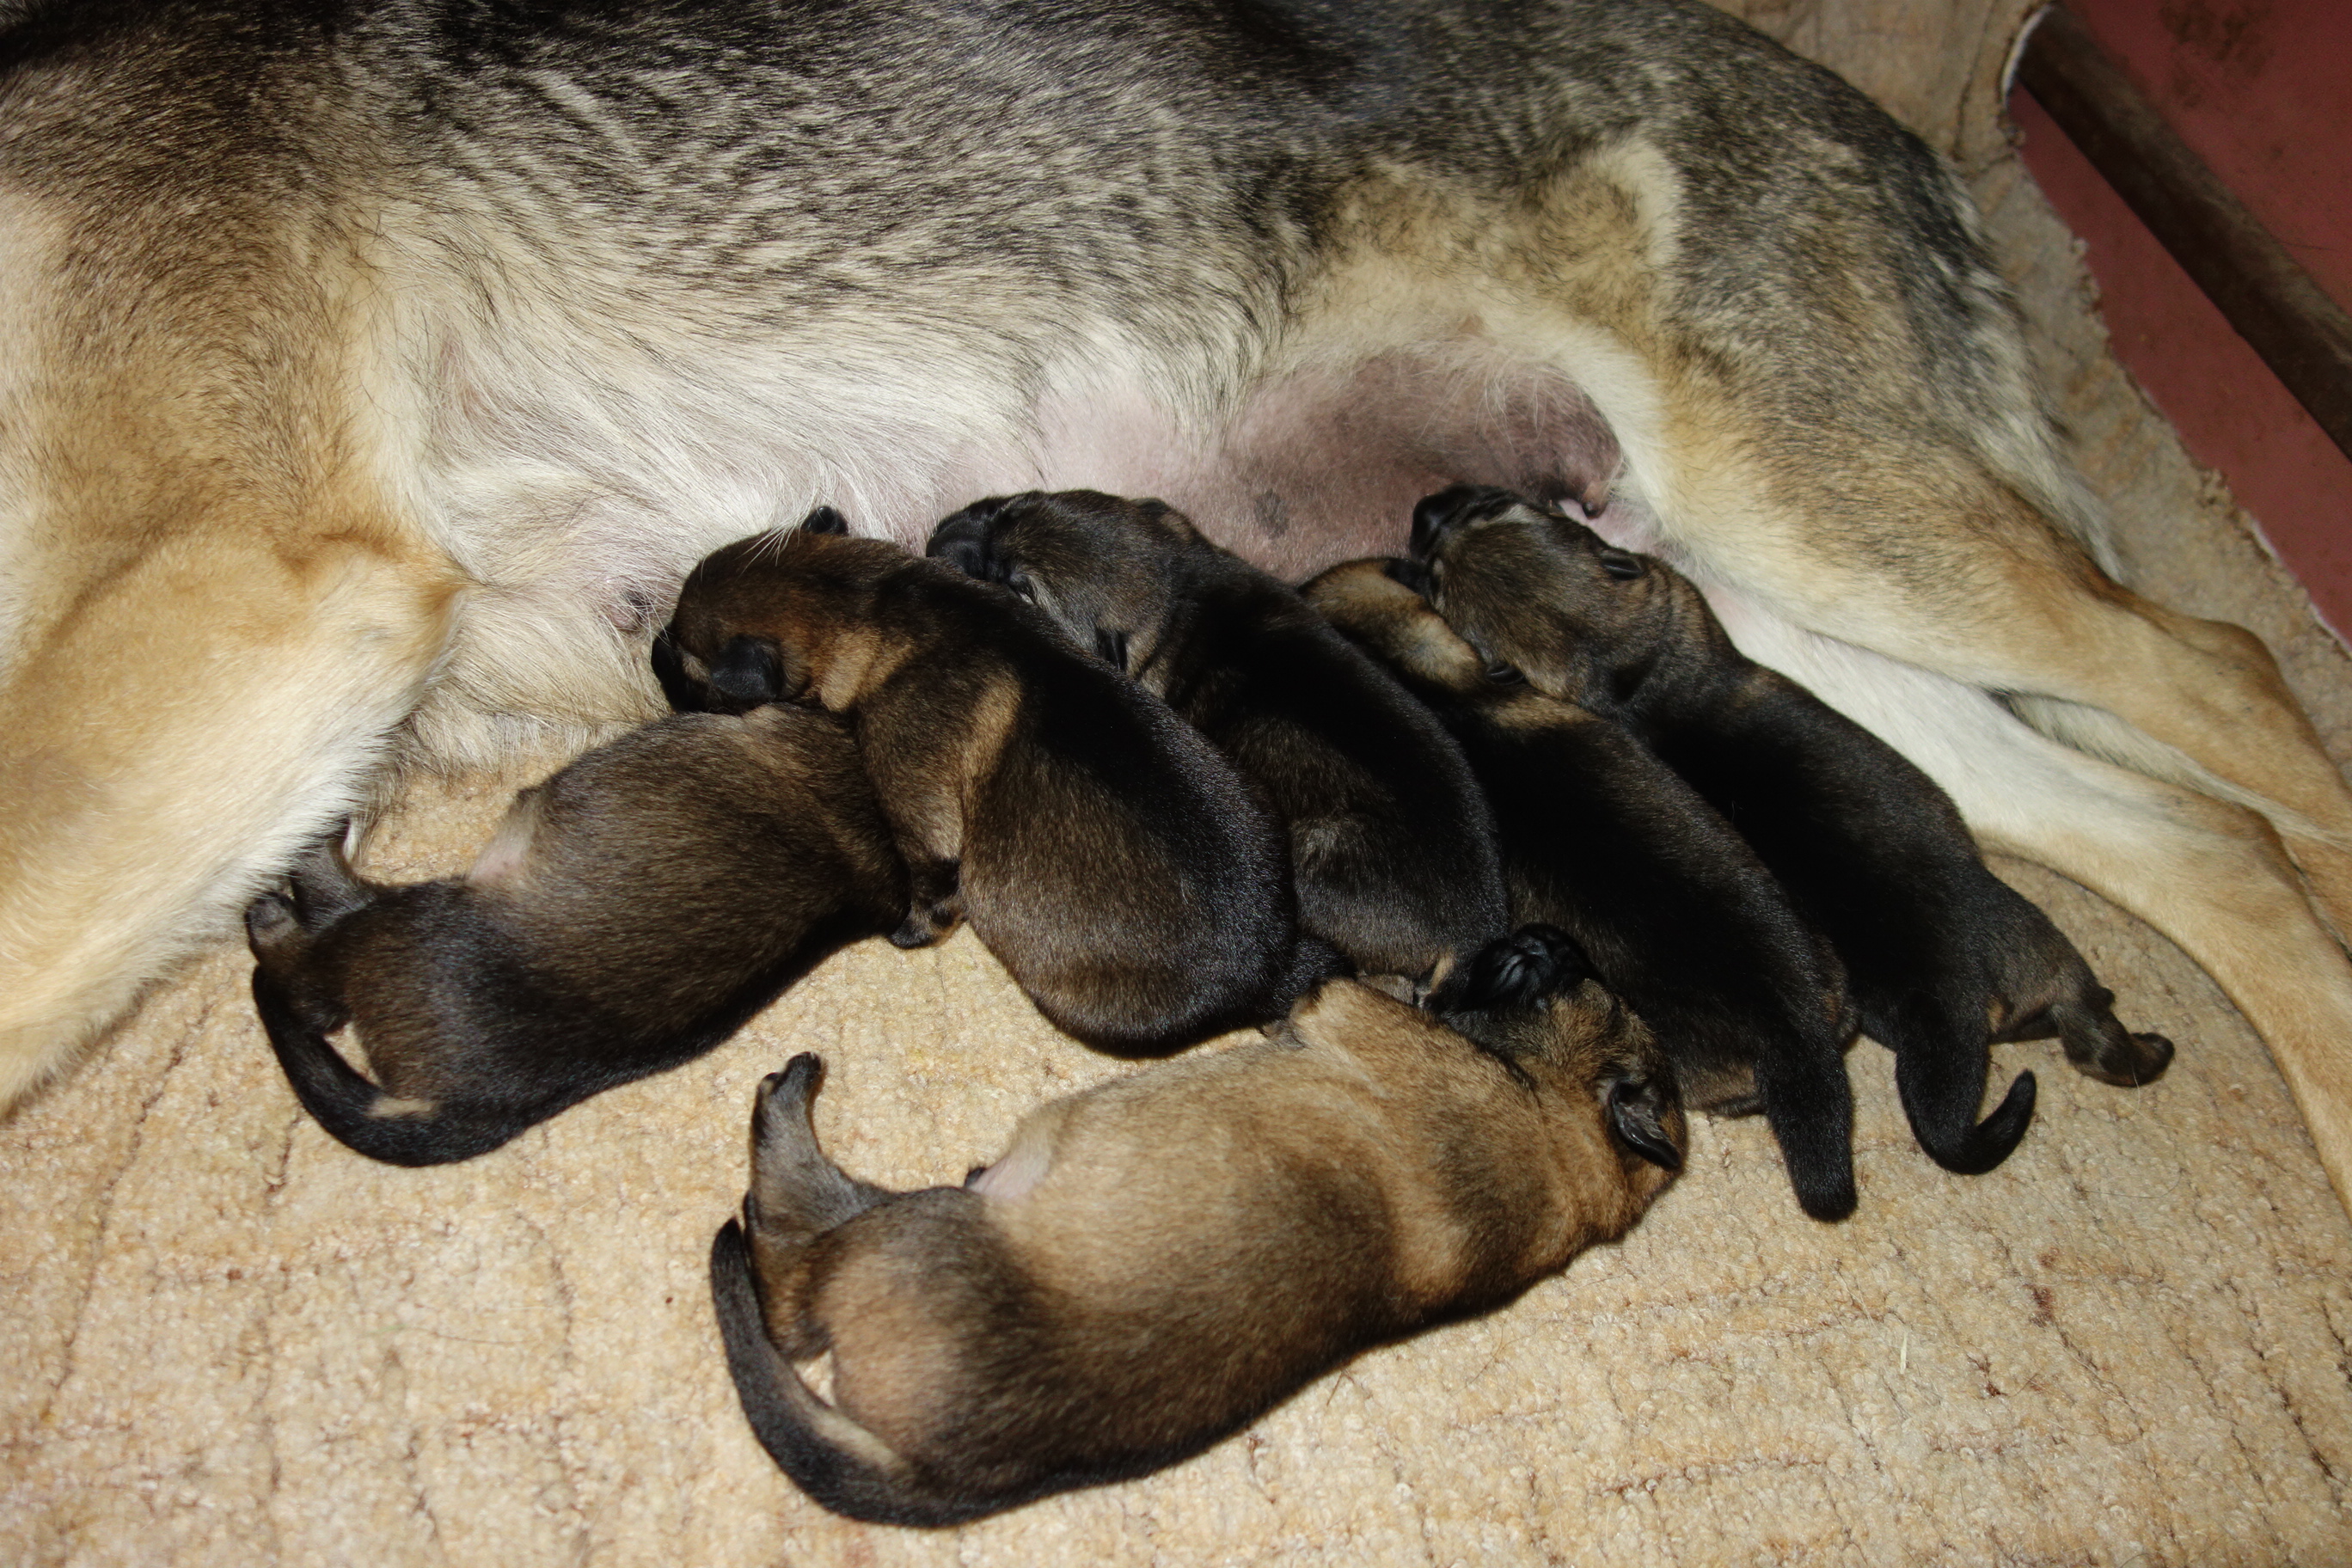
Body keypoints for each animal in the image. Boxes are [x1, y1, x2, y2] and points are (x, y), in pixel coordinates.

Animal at [661, 515, 1326, 1052]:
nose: (649, 650)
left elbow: (930, 889)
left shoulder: (918, 805)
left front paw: (908, 932)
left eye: (680, 657)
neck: (874, 602)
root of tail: (1267, 973)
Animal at [707, 925, 1683, 1525]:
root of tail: (935, 1478)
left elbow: (1351, 987)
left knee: (785, 1279)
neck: (1563, 1129)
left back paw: (787, 1113)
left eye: (1583, 982)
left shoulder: (1357, 1019)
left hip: (922, 1234)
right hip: (915, 1212)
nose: (1551, 934)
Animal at [927, 488, 1509, 980]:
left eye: (1018, 586)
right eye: (1010, 508)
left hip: (1314, 855)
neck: (1179, 591)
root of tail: (1477, 934)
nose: (936, 543)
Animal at [1403, 486, 2178, 1163]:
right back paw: (2143, 1048)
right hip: (2032, 943)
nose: (1429, 509)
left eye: (1488, 512)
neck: (1622, 662)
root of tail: (1951, 994)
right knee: (2087, 1014)